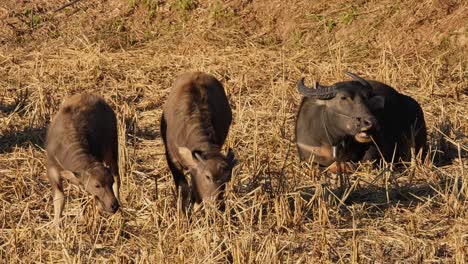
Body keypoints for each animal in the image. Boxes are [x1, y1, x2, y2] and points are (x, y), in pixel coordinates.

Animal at [45, 93, 119, 225]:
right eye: (97, 185)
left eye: (110, 183)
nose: (114, 205)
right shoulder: (52, 170)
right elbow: (60, 199)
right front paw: (56, 225)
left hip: (112, 148)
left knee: (117, 175)